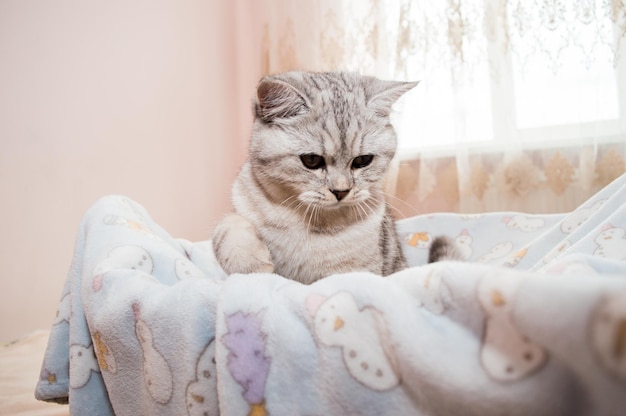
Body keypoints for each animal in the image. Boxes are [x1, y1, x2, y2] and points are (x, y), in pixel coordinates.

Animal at [212, 72, 416, 286]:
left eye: (362, 160)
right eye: (311, 160)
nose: (341, 191)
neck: (309, 221)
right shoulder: (240, 203)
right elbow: (227, 225)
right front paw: (250, 263)